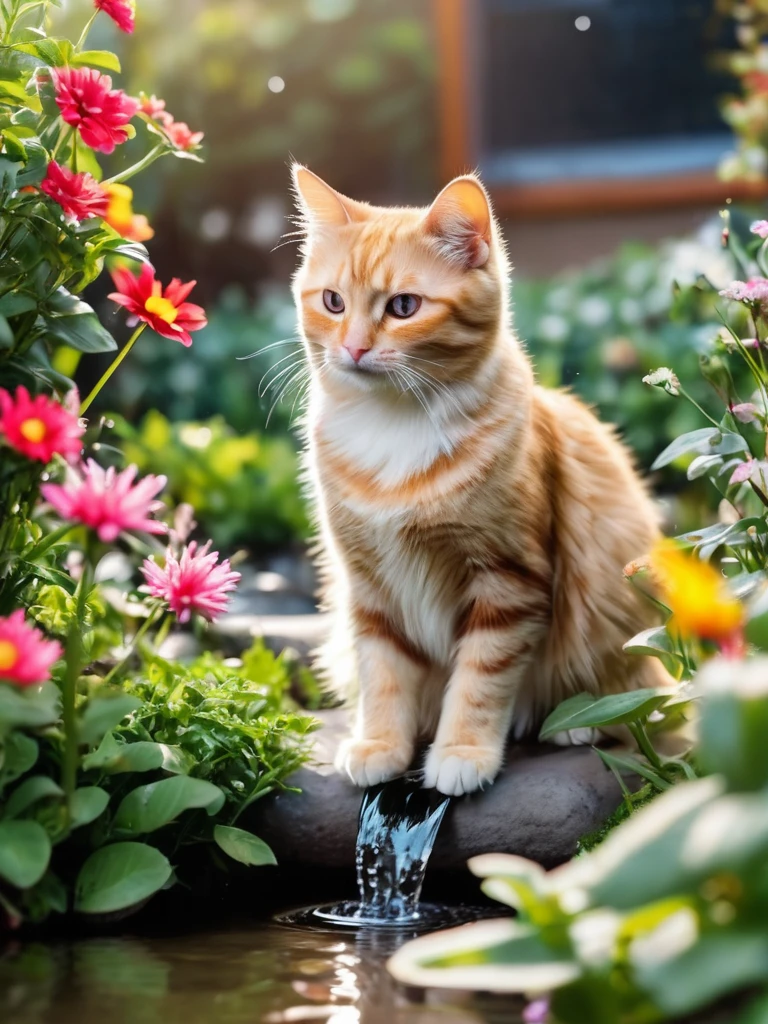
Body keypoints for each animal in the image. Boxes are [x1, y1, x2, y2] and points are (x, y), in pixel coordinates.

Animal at [290, 163, 671, 794]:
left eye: (403, 306)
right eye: (333, 301)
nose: (354, 348)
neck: (394, 424)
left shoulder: (508, 581)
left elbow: (479, 681)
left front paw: (462, 752)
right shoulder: (369, 588)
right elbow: (383, 675)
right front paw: (381, 744)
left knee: (640, 703)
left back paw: (579, 724)